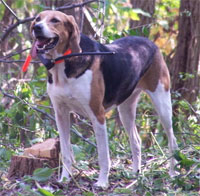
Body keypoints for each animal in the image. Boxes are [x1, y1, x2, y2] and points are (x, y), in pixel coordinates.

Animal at [28, 10, 178, 188]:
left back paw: (172, 173)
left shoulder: (97, 115)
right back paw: (135, 174)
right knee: (136, 140)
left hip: (162, 104)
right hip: (125, 110)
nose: (37, 27)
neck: (63, 63)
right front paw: (64, 179)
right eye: (37, 19)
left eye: (55, 20)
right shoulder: (61, 114)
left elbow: (103, 155)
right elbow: (65, 152)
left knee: (172, 139)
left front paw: (102, 182)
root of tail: (149, 42)